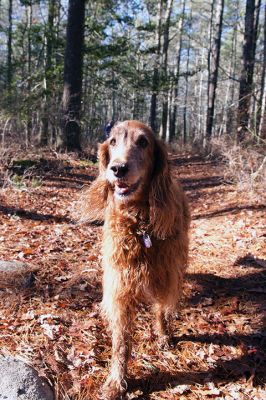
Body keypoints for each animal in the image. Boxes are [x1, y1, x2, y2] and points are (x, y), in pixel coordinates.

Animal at [82, 120, 190, 398]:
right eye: (113, 142)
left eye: (143, 142)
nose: (118, 168)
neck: (140, 225)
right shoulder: (120, 286)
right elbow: (121, 343)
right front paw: (116, 381)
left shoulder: (165, 275)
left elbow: (161, 311)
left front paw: (163, 336)